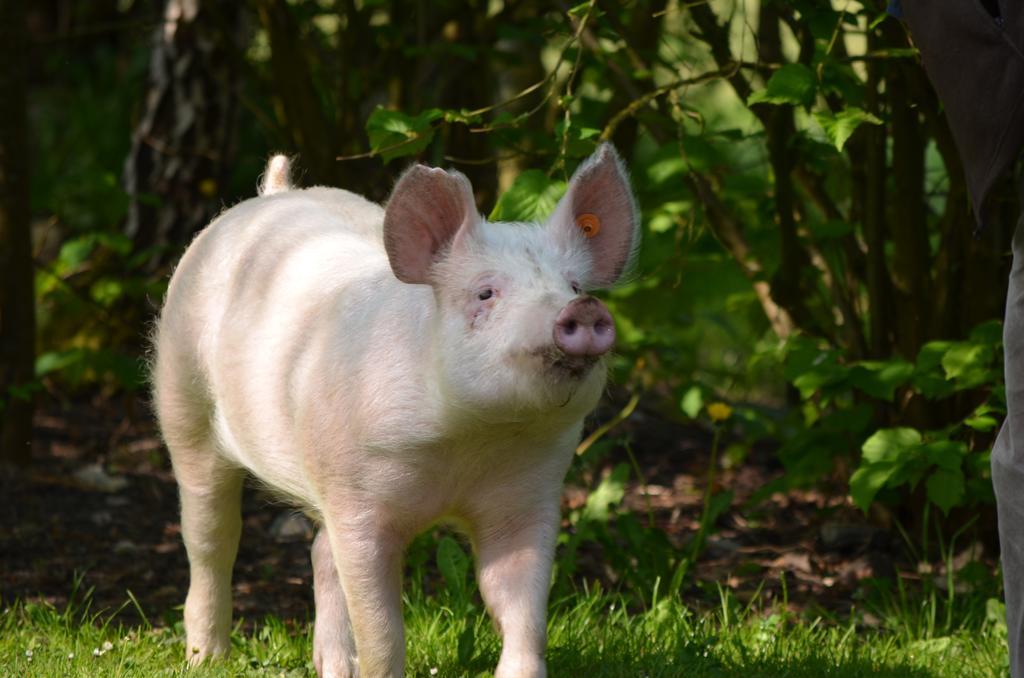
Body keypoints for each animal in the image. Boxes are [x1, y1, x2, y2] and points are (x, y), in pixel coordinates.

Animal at [149, 140, 638, 675]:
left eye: (574, 286)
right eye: (485, 292)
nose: (584, 310)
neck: (472, 443)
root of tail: (275, 192)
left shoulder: (529, 495)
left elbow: (519, 607)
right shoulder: (358, 500)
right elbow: (382, 629)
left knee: (319, 552)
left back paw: (333, 667)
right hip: (182, 397)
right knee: (211, 536)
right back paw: (206, 659)